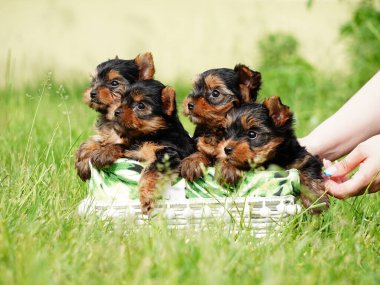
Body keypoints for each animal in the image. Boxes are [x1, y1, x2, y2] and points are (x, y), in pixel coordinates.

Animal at [74, 51, 154, 180]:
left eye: (114, 83)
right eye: (94, 81)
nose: (92, 93)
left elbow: (120, 146)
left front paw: (103, 153)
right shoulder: (103, 134)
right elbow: (93, 141)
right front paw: (83, 160)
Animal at [112, 79, 196, 212]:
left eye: (141, 106)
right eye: (122, 101)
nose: (116, 112)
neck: (153, 133)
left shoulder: (167, 155)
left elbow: (150, 171)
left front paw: (146, 197)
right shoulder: (135, 152)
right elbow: (121, 147)